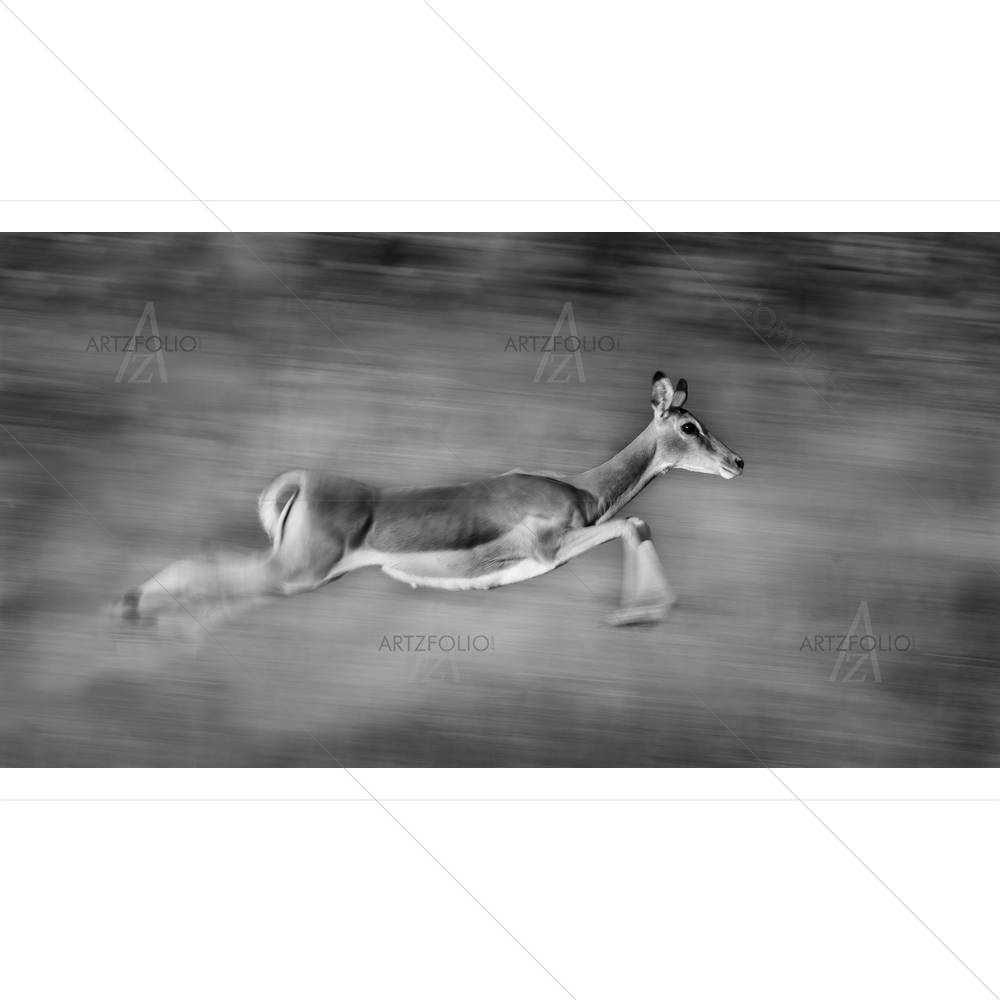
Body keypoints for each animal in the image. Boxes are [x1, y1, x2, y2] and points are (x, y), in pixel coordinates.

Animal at [114, 373, 743, 634]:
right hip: (296, 572)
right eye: (689, 426)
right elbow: (635, 522)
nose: (737, 462)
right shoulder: (550, 549)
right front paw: (633, 615)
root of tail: (299, 482)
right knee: (212, 572)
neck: (580, 488)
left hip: (298, 573)